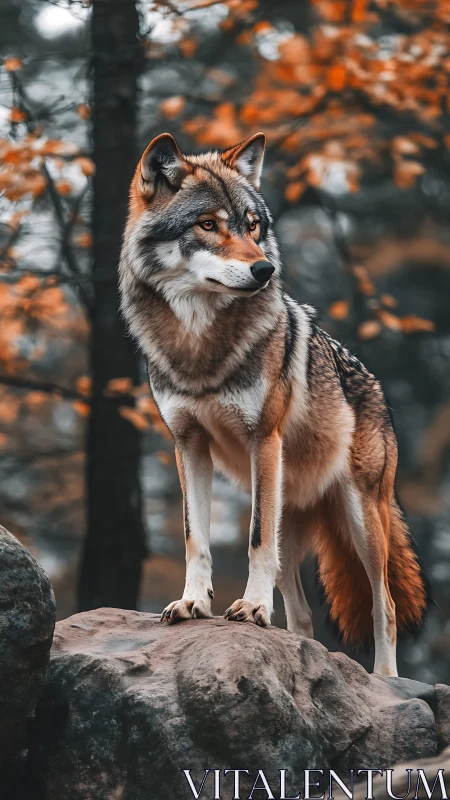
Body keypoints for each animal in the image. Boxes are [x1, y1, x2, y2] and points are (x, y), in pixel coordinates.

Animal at [119, 131, 427, 676]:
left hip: (362, 520)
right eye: (207, 224)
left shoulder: (264, 438)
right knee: (302, 617)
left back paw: (384, 679)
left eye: (253, 226)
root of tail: (376, 387)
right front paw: (194, 603)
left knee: (384, 604)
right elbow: (195, 535)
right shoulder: (188, 444)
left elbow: (255, 541)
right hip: (285, 505)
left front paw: (253, 607)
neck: (198, 347)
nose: (265, 268)